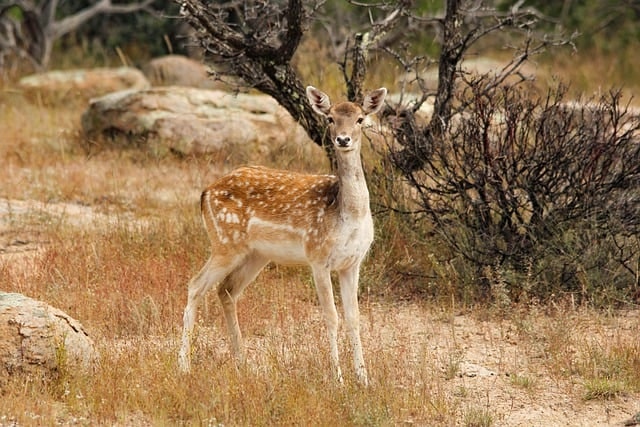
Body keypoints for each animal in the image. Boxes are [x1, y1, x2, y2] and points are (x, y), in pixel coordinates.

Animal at [178, 85, 387, 385]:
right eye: (330, 118)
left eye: (360, 119)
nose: (343, 139)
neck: (346, 215)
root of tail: (205, 193)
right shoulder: (317, 256)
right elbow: (331, 316)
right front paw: (338, 379)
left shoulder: (352, 263)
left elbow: (354, 318)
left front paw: (363, 379)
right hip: (225, 242)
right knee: (195, 285)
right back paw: (183, 365)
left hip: (256, 255)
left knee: (226, 290)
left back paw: (242, 363)